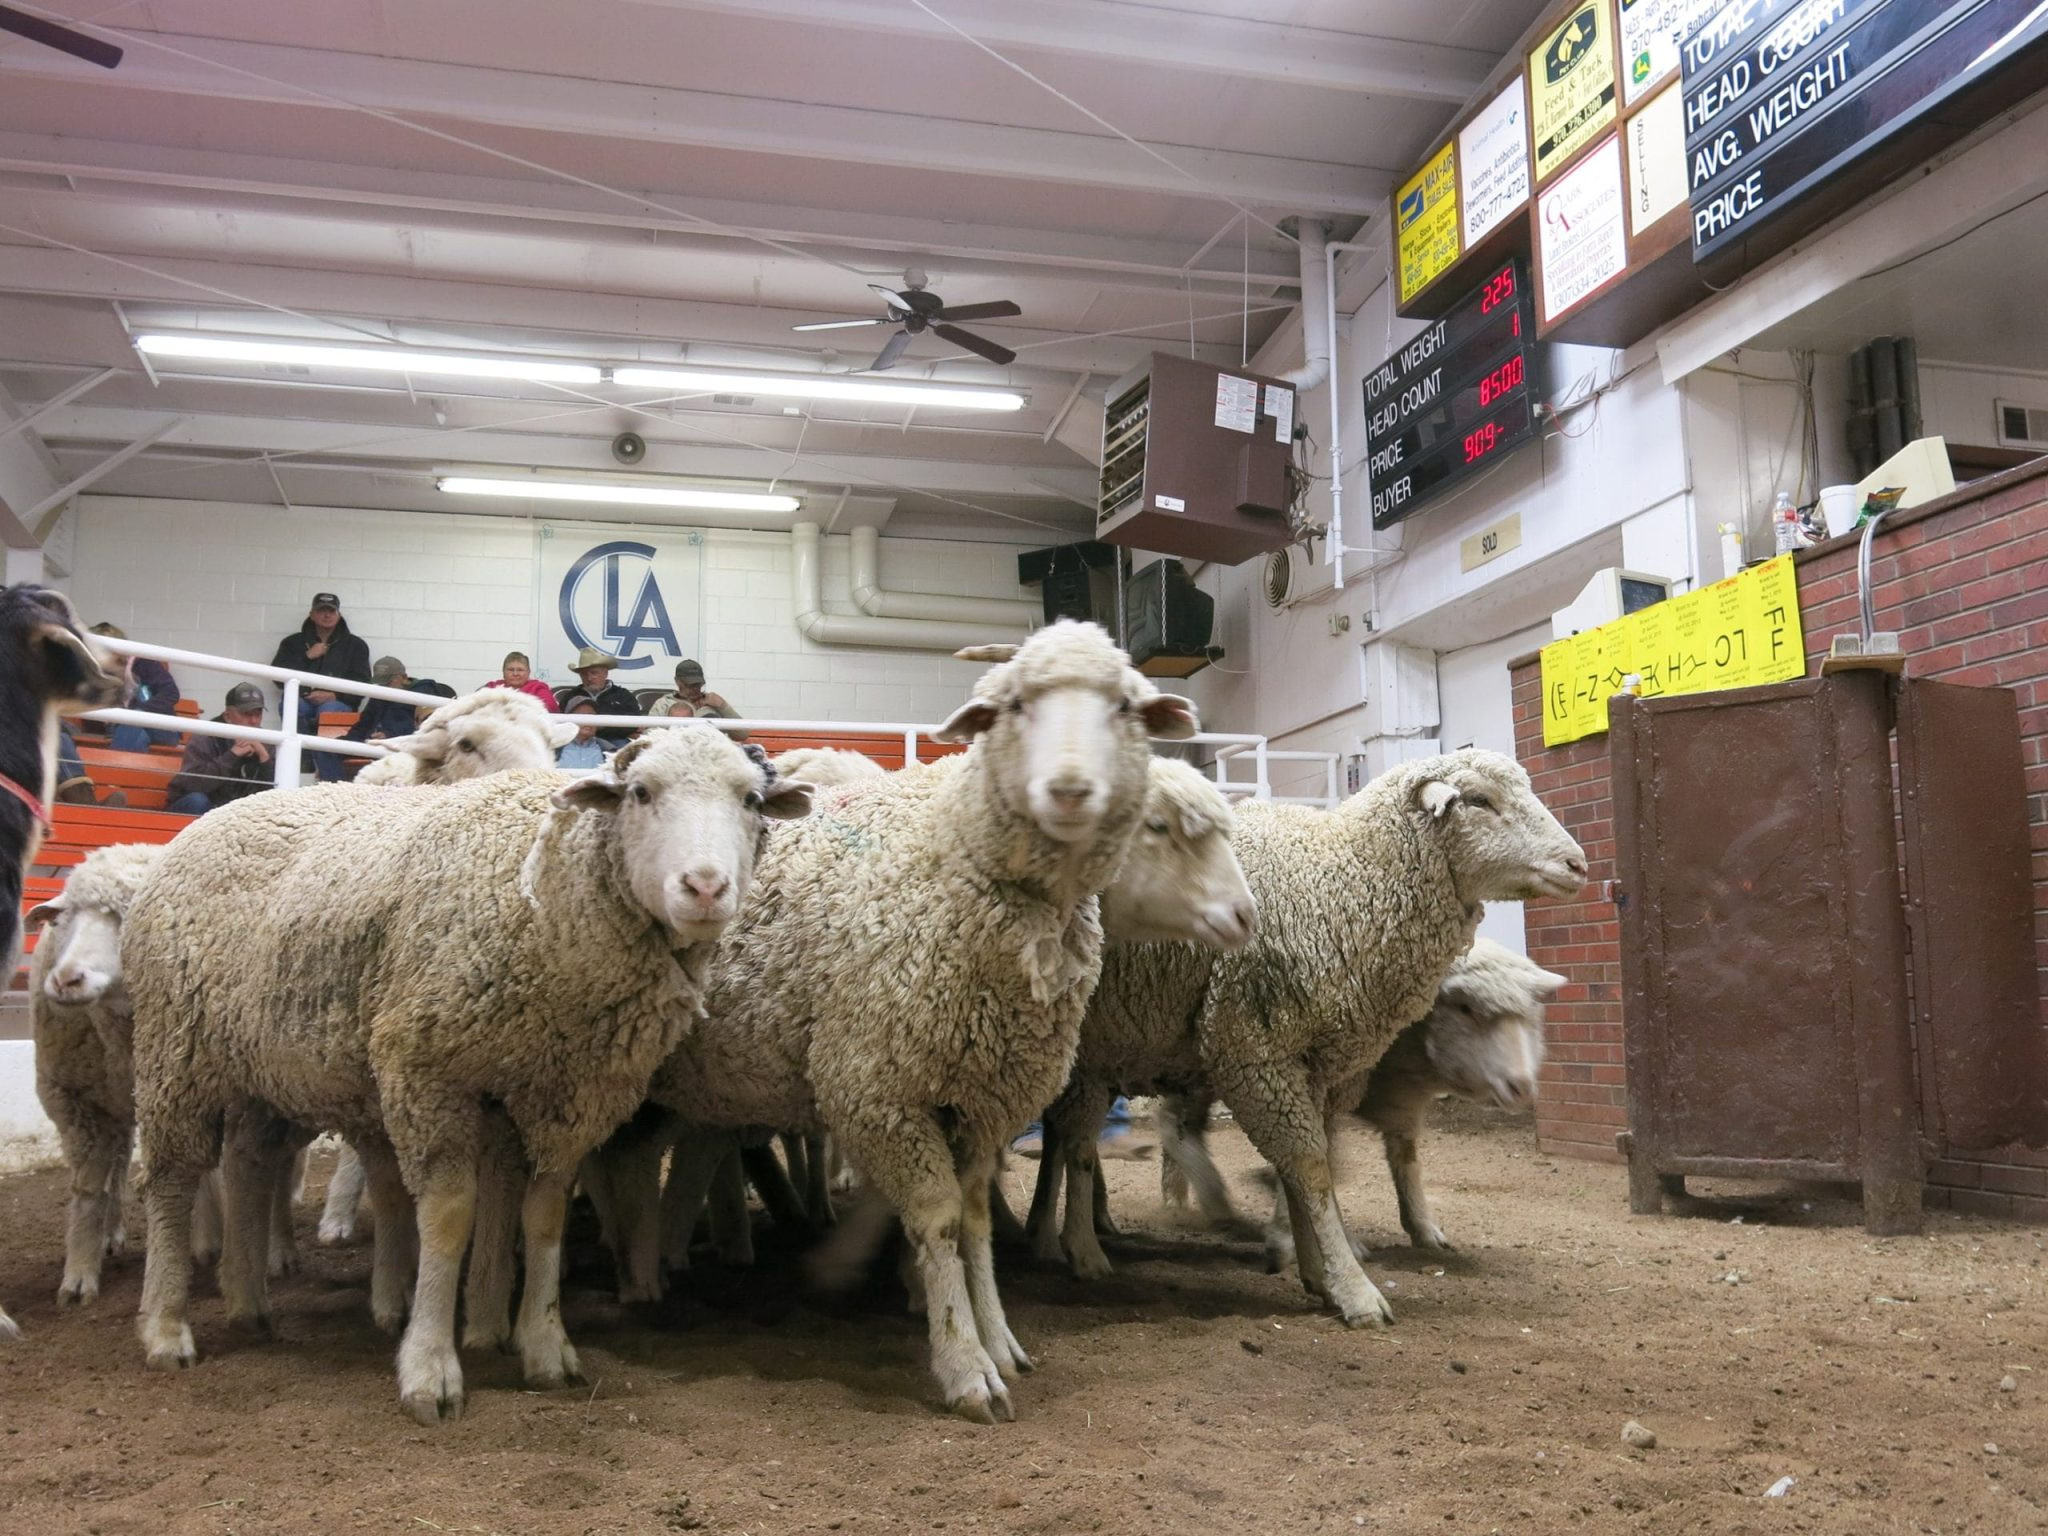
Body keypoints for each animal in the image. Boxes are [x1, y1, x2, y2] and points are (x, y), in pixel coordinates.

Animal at [123, 724, 813, 1423]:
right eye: (642, 792)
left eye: (751, 800)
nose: (705, 888)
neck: (548, 897)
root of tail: (219, 815)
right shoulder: (428, 1071)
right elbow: (450, 1215)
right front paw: (430, 1368)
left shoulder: (565, 1096)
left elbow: (544, 1215)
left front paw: (545, 1347)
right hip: (175, 1048)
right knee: (172, 1178)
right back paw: (166, 1326)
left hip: (261, 1065)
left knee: (248, 1163)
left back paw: (248, 1303)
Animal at [638, 621, 1197, 1420]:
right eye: (1015, 705)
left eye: (1124, 705)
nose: (1068, 790)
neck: (951, 861)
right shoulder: (880, 1094)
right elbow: (937, 1220)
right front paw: (964, 1366)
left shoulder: (985, 1099)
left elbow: (976, 1221)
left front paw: (999, 1339)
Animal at [1155, 937, 1566, 1262]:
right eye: (1466, 1008)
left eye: (1530, 1016)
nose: (1521, 1087)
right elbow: (1325, 1160)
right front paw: (1298, 1231)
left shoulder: (1402, 1100)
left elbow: (1405, 1160)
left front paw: (1423, 1228)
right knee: (1174, 1124)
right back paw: (1217, 1205)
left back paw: (1179, 1198)